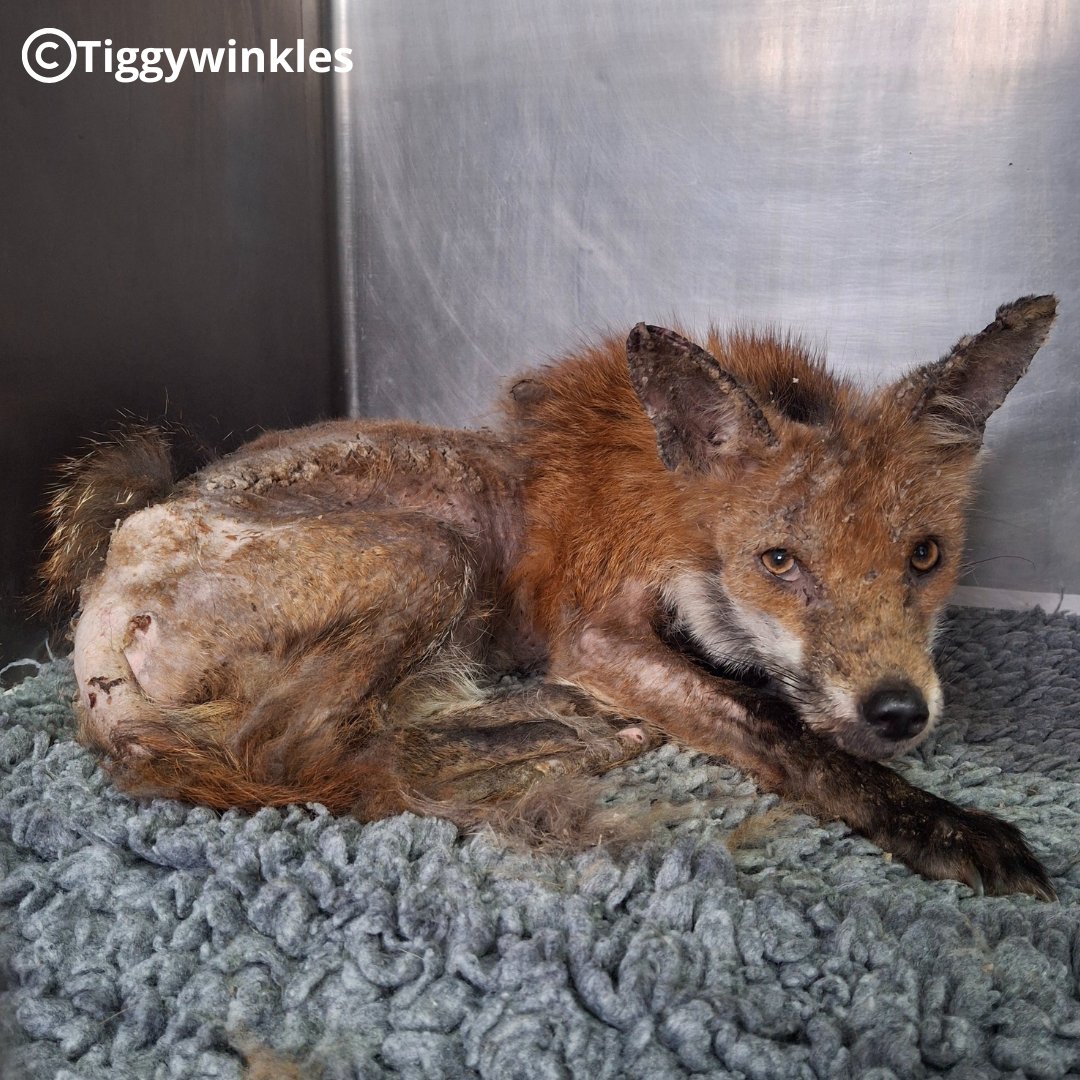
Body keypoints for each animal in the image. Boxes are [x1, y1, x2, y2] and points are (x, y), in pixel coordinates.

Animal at [39, 294, 1058, 898]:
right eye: (779, 561)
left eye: (925, 556)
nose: (898, 711)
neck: (671, 517)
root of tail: (96, 607)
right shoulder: (596, 632)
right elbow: (782, 730)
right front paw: (936, 822)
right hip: (433, 554)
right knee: (311, 757)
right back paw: (568, 742)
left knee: (375, 738)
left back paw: (558, 728)